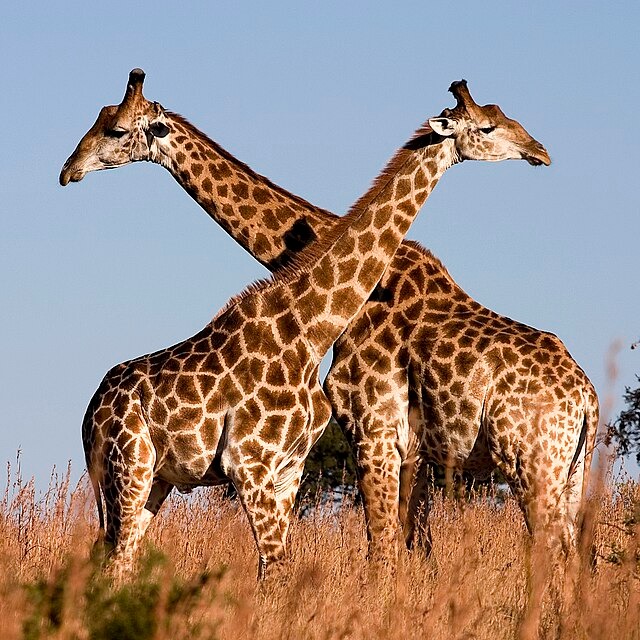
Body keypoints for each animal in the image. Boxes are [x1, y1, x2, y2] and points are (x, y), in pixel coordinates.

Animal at [59, 71, 587, 566]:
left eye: (115, 129)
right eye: (490, 124)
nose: (68, 170)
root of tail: (588, 400)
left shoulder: (370, 433)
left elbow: (387, 550)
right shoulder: (382, 444)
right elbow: (399, 550)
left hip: (537, 465)